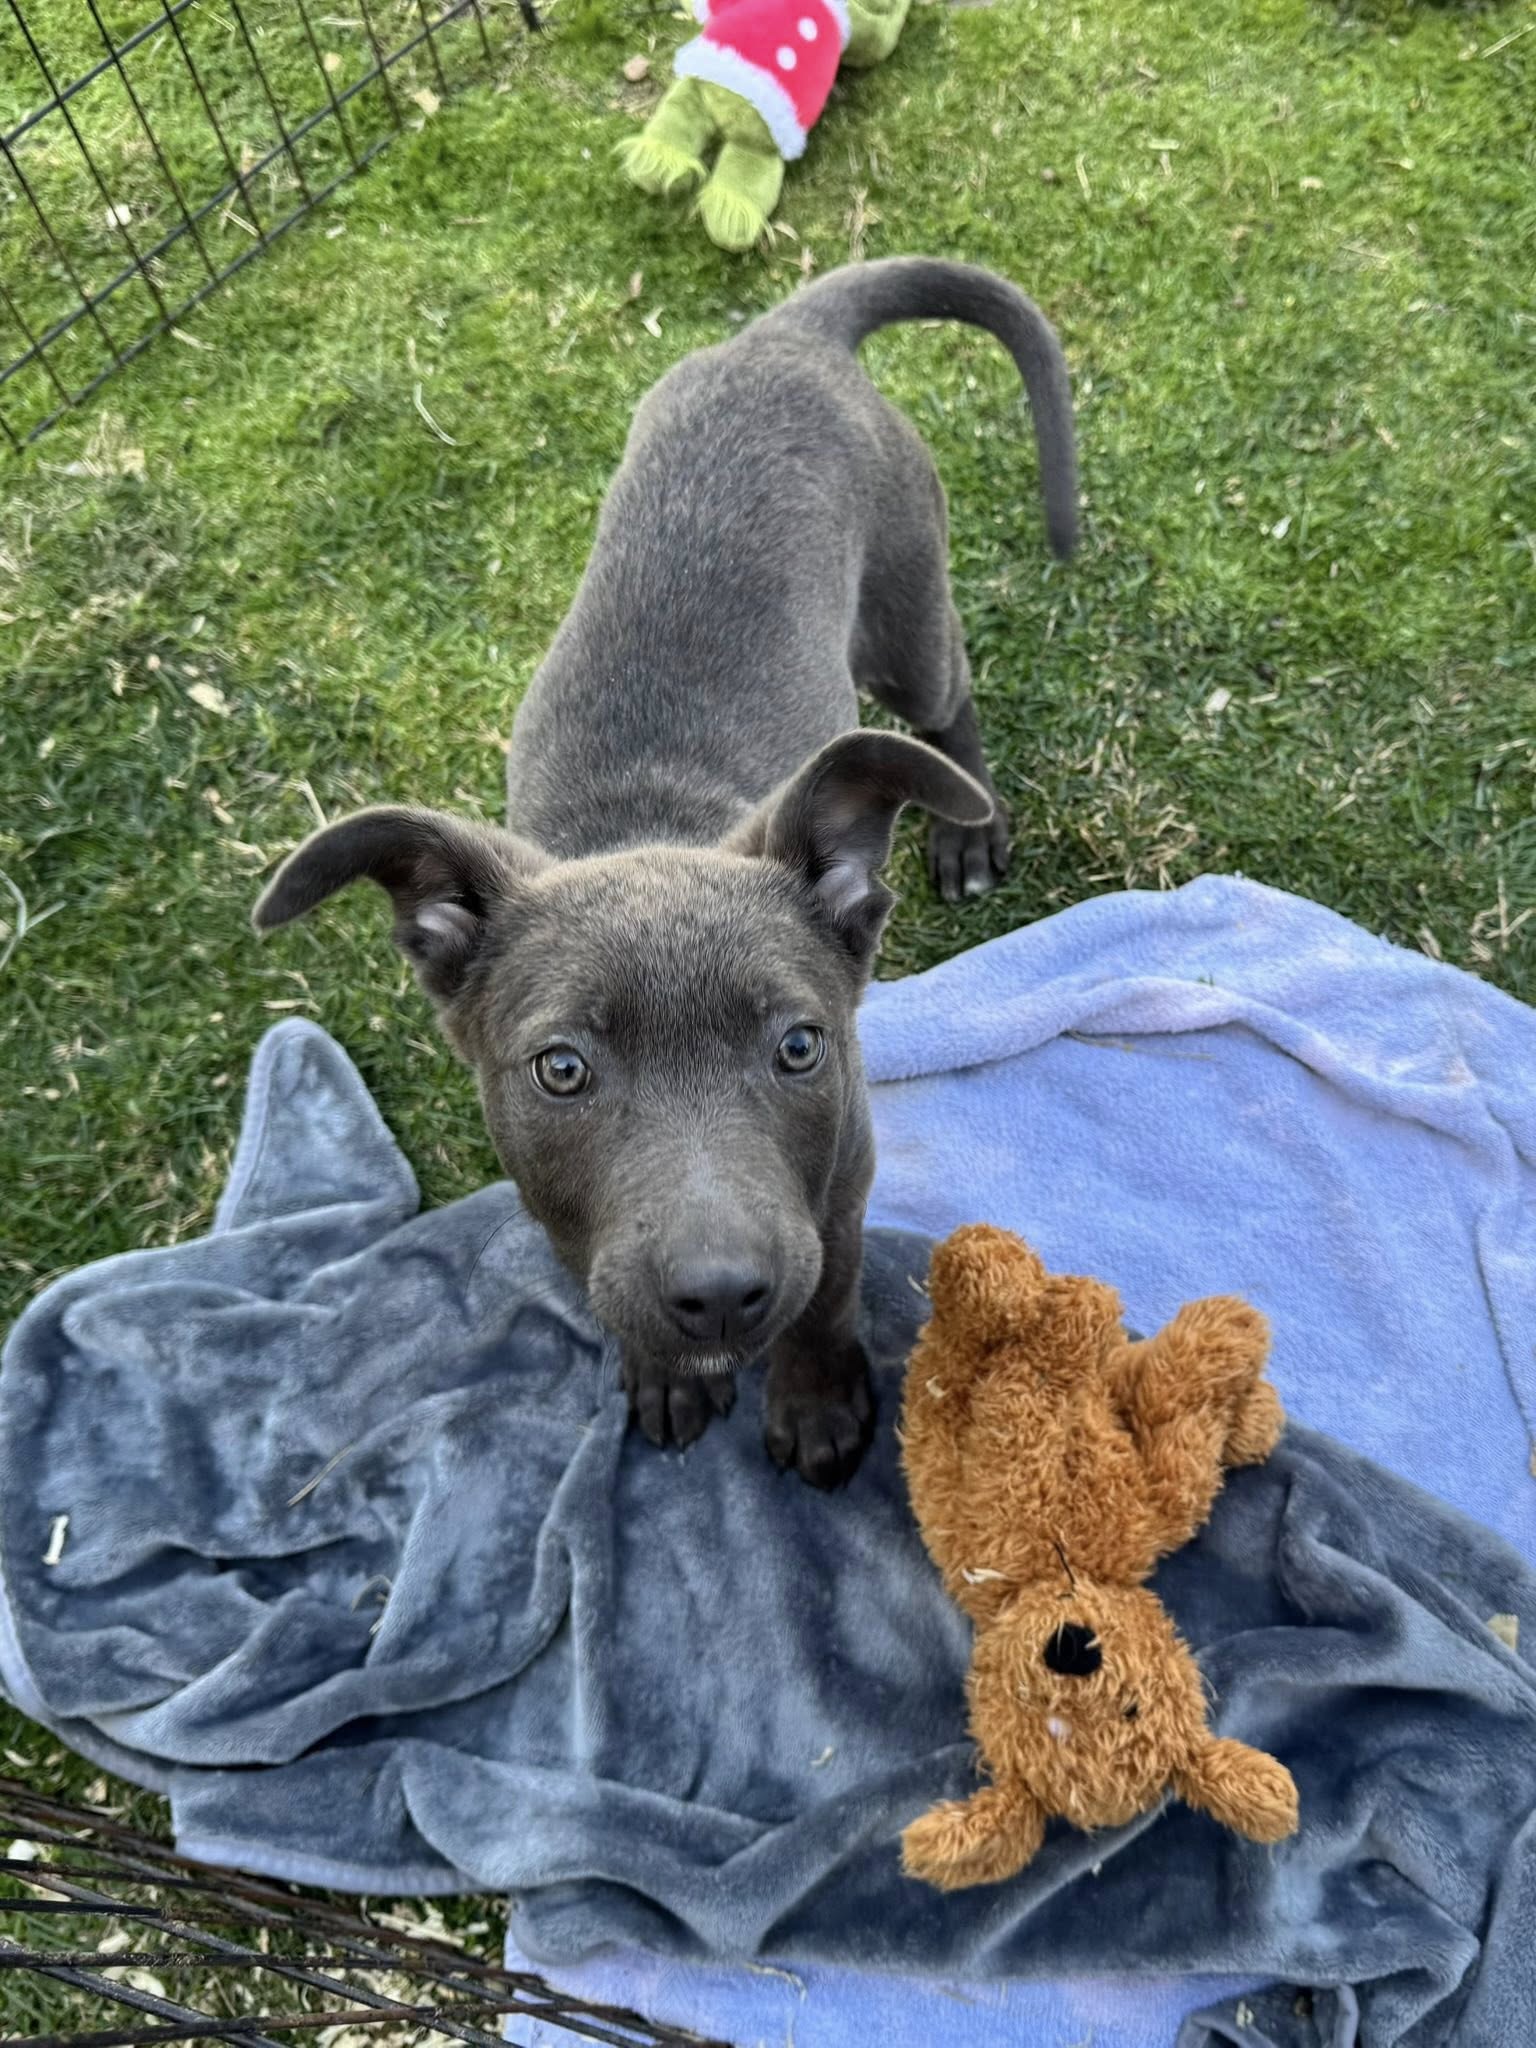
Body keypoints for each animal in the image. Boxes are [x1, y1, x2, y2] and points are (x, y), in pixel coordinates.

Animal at [253, 257, 1076, 1488]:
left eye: (801, 1046)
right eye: (559, 1069)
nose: (721, 1294)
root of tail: (783, 333)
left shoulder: (841, 1181)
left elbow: (830, 1291)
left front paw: (816, 1402)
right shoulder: (564, 1210)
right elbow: (604, 1283)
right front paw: (661, 1371)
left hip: (902, 611)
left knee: (948, 694)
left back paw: (968, 830)